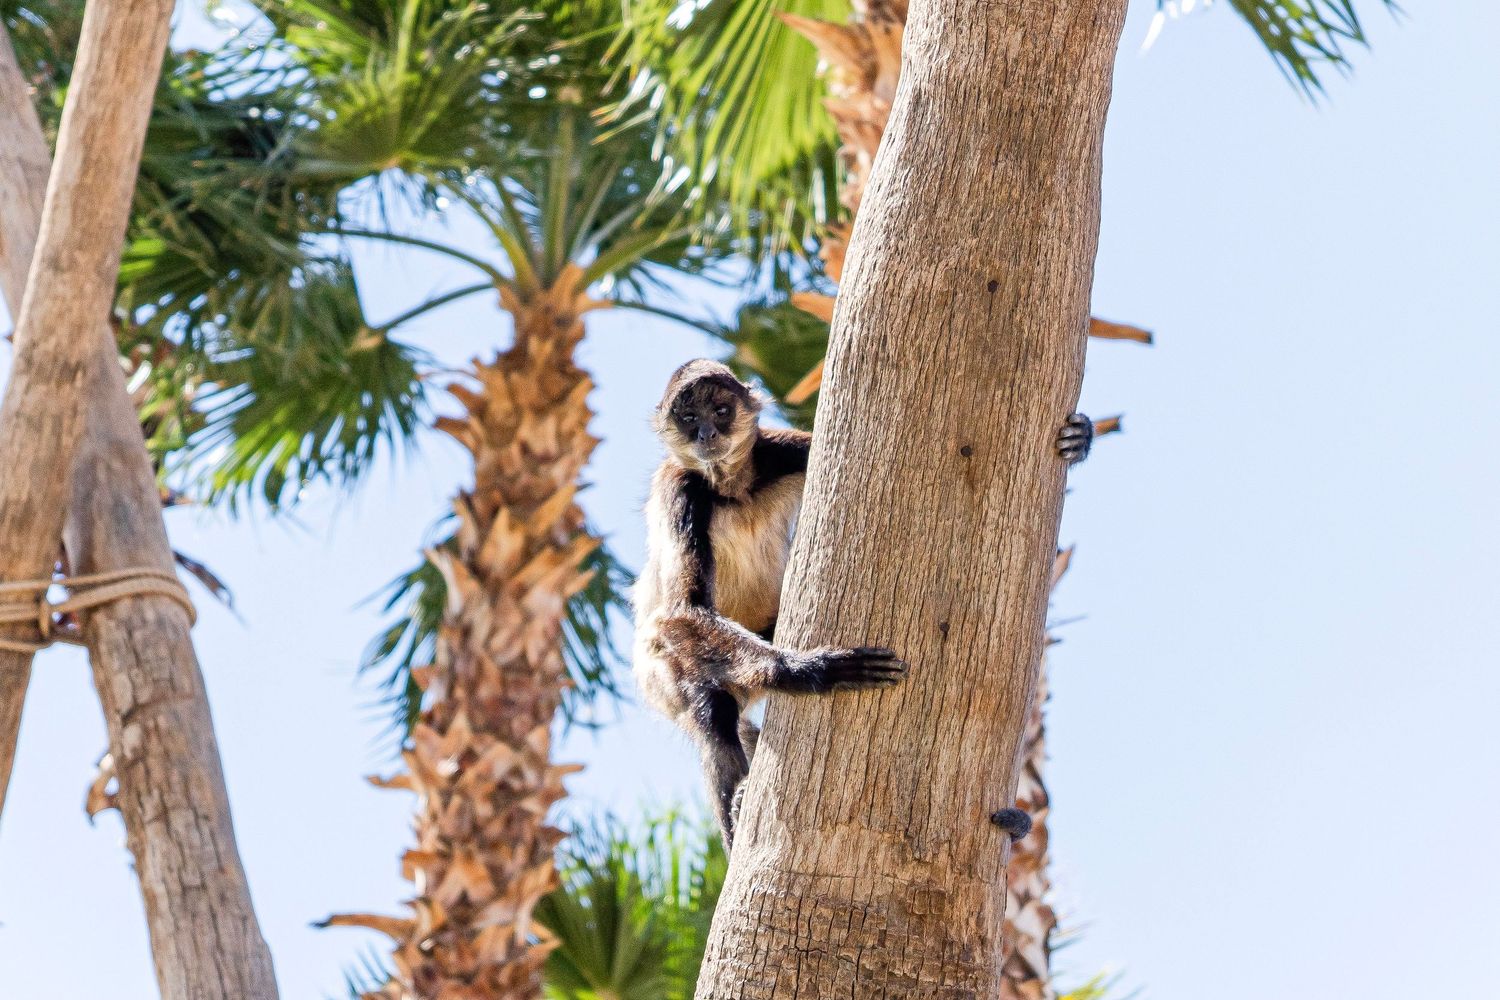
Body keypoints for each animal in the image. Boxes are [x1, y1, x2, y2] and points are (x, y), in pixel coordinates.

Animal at [632, 359, 1094, 848]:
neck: (731, 487)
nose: (705, 434)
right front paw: (809, 671)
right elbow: (682, 610)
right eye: (688, 417)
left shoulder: (777, 452)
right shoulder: (681, 488)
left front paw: (1080, 439)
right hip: (662, 671)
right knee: (710, 707)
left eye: (720, 410)